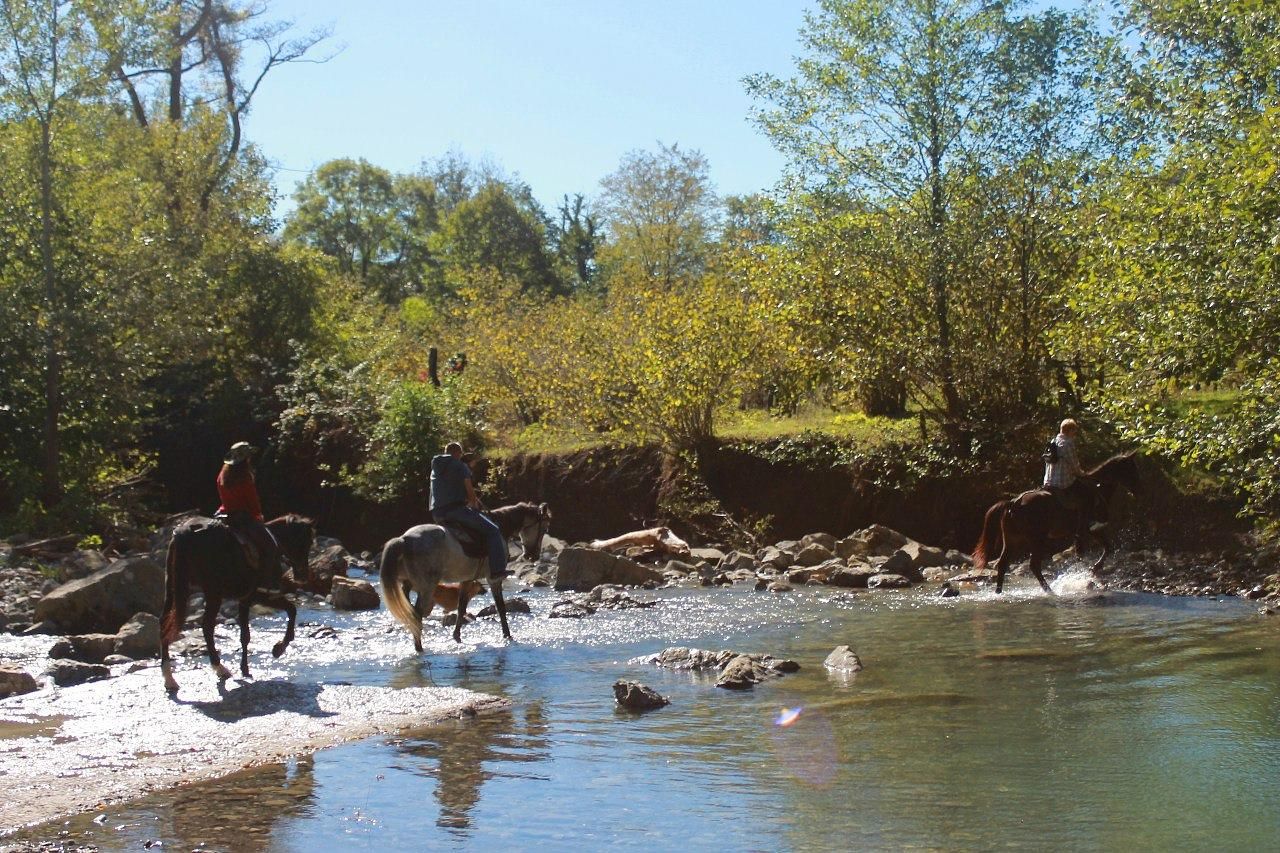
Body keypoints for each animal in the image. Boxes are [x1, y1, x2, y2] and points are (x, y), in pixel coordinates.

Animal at [160, 512, 314, 691]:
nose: (303, 576)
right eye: (307, 542)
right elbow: (291, 610)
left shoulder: (244, 600)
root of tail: (185, 533)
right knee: (207, 626)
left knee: (164, 624)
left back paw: (169, 678)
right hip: (213, 592)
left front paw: (245, 668)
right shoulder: (262, 595)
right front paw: (278, 649)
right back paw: (220, 668)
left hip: (173, 588)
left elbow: (244, 636)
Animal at [373, 502, 545, 648]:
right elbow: (501, 607)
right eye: (543, 529)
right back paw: (419, 648)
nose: (533, 556)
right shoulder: (493, 579)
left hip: (407, 585)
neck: (500, 526)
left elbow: (461, 608)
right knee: (417, 614)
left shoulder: (467, 579)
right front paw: (507, 635)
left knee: (410, 613)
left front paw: (457, 636)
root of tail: (404, 539)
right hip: (427, 587)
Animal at [972, 448, 1146, 594]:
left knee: (1002, 564)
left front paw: (1093, 570)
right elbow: (1103, 549)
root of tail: (1014, 502)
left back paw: (999, 592)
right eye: (1132, 469)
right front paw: (1093, 570)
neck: (1099, 488)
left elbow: (1107, 547)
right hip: (1037, 540)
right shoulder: (1089, 529)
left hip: (1011, 540)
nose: (1140, 491)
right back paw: (1050, 591)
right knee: (1034, 565)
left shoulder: (1091, 530)